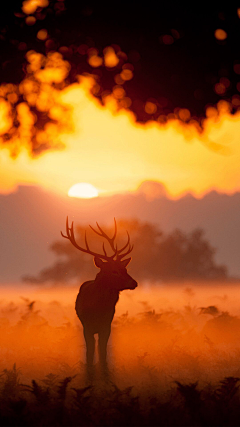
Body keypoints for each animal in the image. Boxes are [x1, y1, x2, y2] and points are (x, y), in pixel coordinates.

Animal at [61, 217, 138, 374]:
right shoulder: (86, 326)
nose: (134, 282)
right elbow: (89, 351)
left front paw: (105, 371)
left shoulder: (107, 325)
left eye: (125, 269)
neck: (98, 309)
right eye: (114, 271)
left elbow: (103, 351)